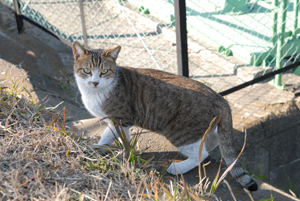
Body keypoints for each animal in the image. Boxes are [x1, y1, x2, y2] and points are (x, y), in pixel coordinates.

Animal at [72, 41, 258, 191]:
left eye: (104, 71)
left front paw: (100, 147)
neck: (95, 93)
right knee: (210, 142)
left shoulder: (120, 118)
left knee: (201, 154)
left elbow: (108, 135)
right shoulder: (122, 123)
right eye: (87, 70)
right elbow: (123, 137)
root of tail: (221, 99)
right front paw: (124, 148)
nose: (95, 82)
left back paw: (178, 168)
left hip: (180, 134)